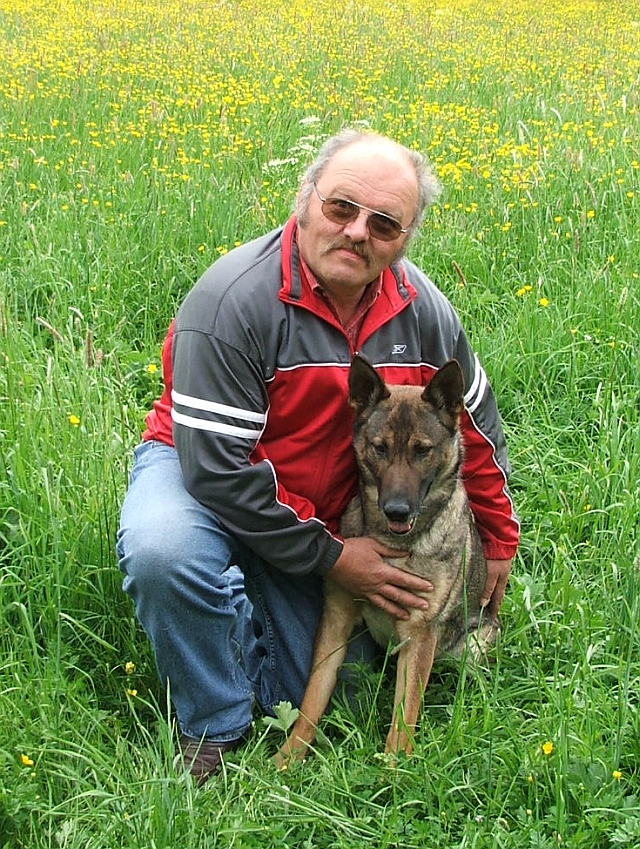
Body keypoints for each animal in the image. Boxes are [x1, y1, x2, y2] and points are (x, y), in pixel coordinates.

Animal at [275, 355, 499, 766]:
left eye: (422, 450)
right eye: (379, 448)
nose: (396, 510)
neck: (394, 543)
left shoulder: (419, 636)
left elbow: (403, 717)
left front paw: (394, 772)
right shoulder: (336, 619)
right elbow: (312, 699)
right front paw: (288, 759)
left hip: (475, 643)